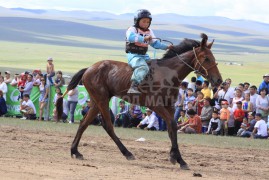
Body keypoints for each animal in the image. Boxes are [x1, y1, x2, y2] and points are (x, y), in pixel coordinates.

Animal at [60, 33, 222, 170]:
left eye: (213, 57)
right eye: (206, 58)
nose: (219, 80)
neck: (167, 73)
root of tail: (89, 68)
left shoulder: (169, 107)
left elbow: (172, 128)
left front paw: (176, 158)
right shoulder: (156, 105)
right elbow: (172, 125)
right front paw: (179, 159)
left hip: (96, 101)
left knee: (84, 123)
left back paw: (75, 151)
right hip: (102, 100)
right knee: (108, 126)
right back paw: (127, 153)